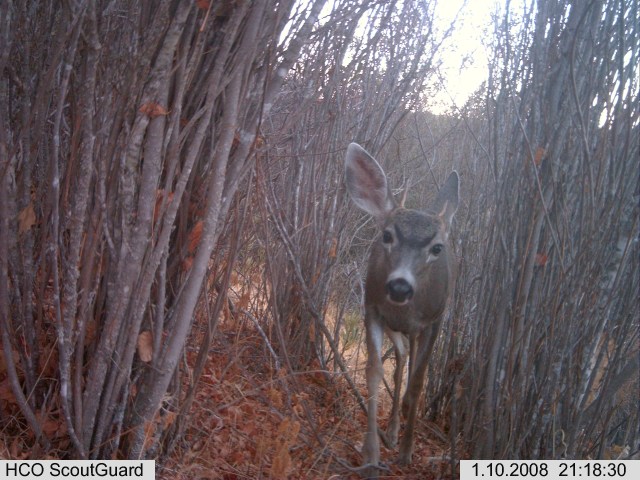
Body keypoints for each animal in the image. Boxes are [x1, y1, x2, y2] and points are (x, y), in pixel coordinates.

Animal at [344, 143, 459, 476]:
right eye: (386, 235)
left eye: (436, 248)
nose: (399, 287)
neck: (407, 310)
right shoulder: (373, 309)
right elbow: (374, 370)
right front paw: (371, 454)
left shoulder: (435, 319)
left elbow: (419, 382)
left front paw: (408, 452)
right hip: (396, 328)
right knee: (402, 356)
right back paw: (394, 429)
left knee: (412, 361)